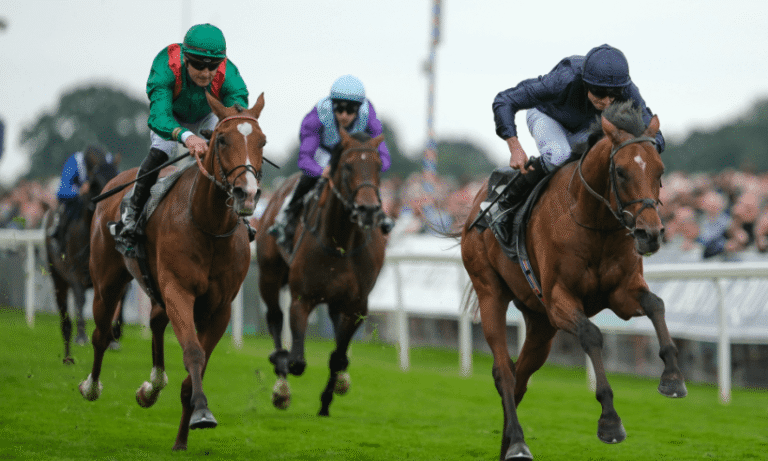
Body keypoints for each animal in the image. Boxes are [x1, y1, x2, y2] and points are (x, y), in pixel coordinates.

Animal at [43, 147, 120, 364]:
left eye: (116, 175)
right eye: (96, 182)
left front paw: (113, 339)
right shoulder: (75, 272)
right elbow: (80, 300)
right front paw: (82, 336)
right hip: (57, 278)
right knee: (65, 318)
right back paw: (68, 354)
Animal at [78, 92, 267, 451]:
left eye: (262, 141)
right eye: (222, 139)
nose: (247, 194)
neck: (208, 226)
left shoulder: (219, 308)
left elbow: (198, 367)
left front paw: (184, 434)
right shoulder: (179, 290)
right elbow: (193, 352)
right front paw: (202, 411)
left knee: (154, 322)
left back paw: (152, 386)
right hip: (107, 283)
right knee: (101, 334)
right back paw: (91, 386)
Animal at [256, 130, 386, 416]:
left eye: (378, 166)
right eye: (347, 166)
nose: (368, 209)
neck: (340, 243)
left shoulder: (357, 305)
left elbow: (338, 356)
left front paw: (327, 402)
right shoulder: (302, 298)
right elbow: (297, 361)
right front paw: (284, 372)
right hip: (268, 274)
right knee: (274, 318)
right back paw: (280, 382)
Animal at [460, 101, 687, 460]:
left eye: (660, 171)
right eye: (621, 172)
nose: (650, 234)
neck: (593, 220)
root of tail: (477, 201)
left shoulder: (621, 293)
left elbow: (656, 304)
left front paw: (673, 378)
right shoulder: (558, 300)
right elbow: (591, 334)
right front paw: (610, 422)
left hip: (540, 324)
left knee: (521, 374)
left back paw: (508, 444)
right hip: (490, 292)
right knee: (504, 372)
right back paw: (519, 443)